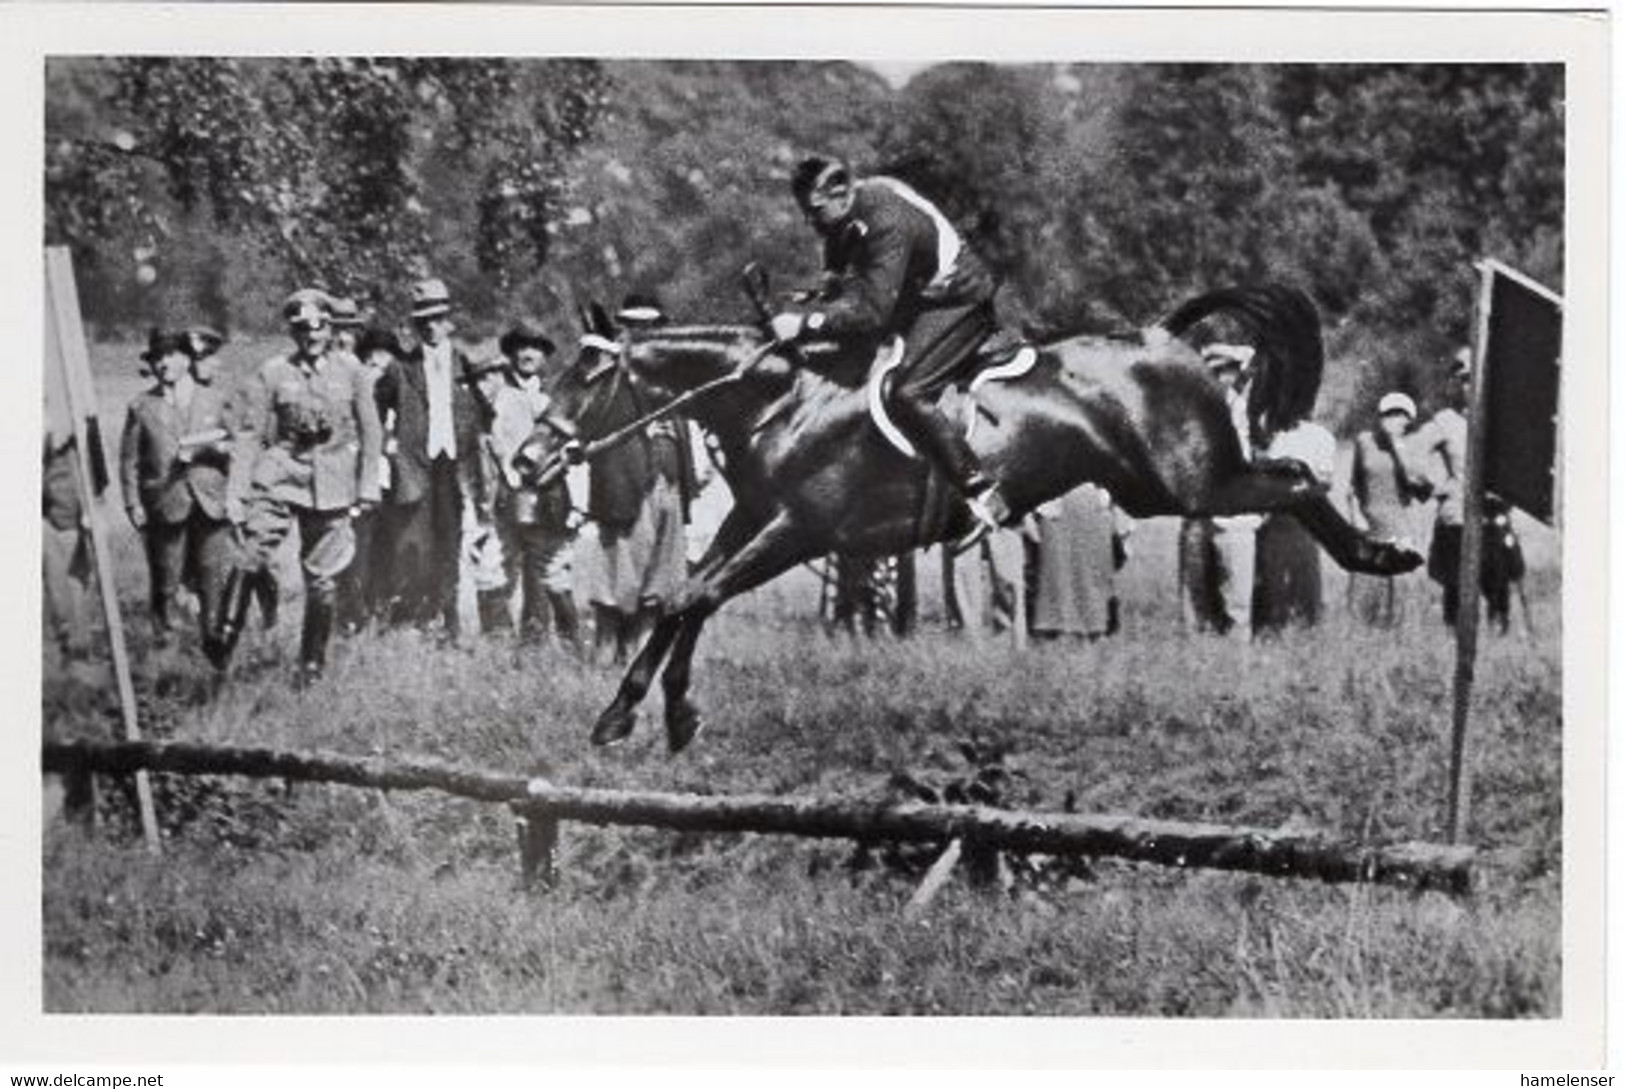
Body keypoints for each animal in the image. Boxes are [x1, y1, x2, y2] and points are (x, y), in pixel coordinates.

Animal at [546, 286, 1423, 754]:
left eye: (586, 377)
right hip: (1153, 489)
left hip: (1192, 484)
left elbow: (692, 597)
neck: (780, 396)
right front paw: (648, 711)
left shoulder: (798, 530)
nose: (532, 457)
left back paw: (1381, 556)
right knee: (1294, 478)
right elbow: (686, 597)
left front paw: (647, 712)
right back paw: (1380, 553)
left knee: (1298, 480)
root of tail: (1164, 335)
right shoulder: (753, 521)